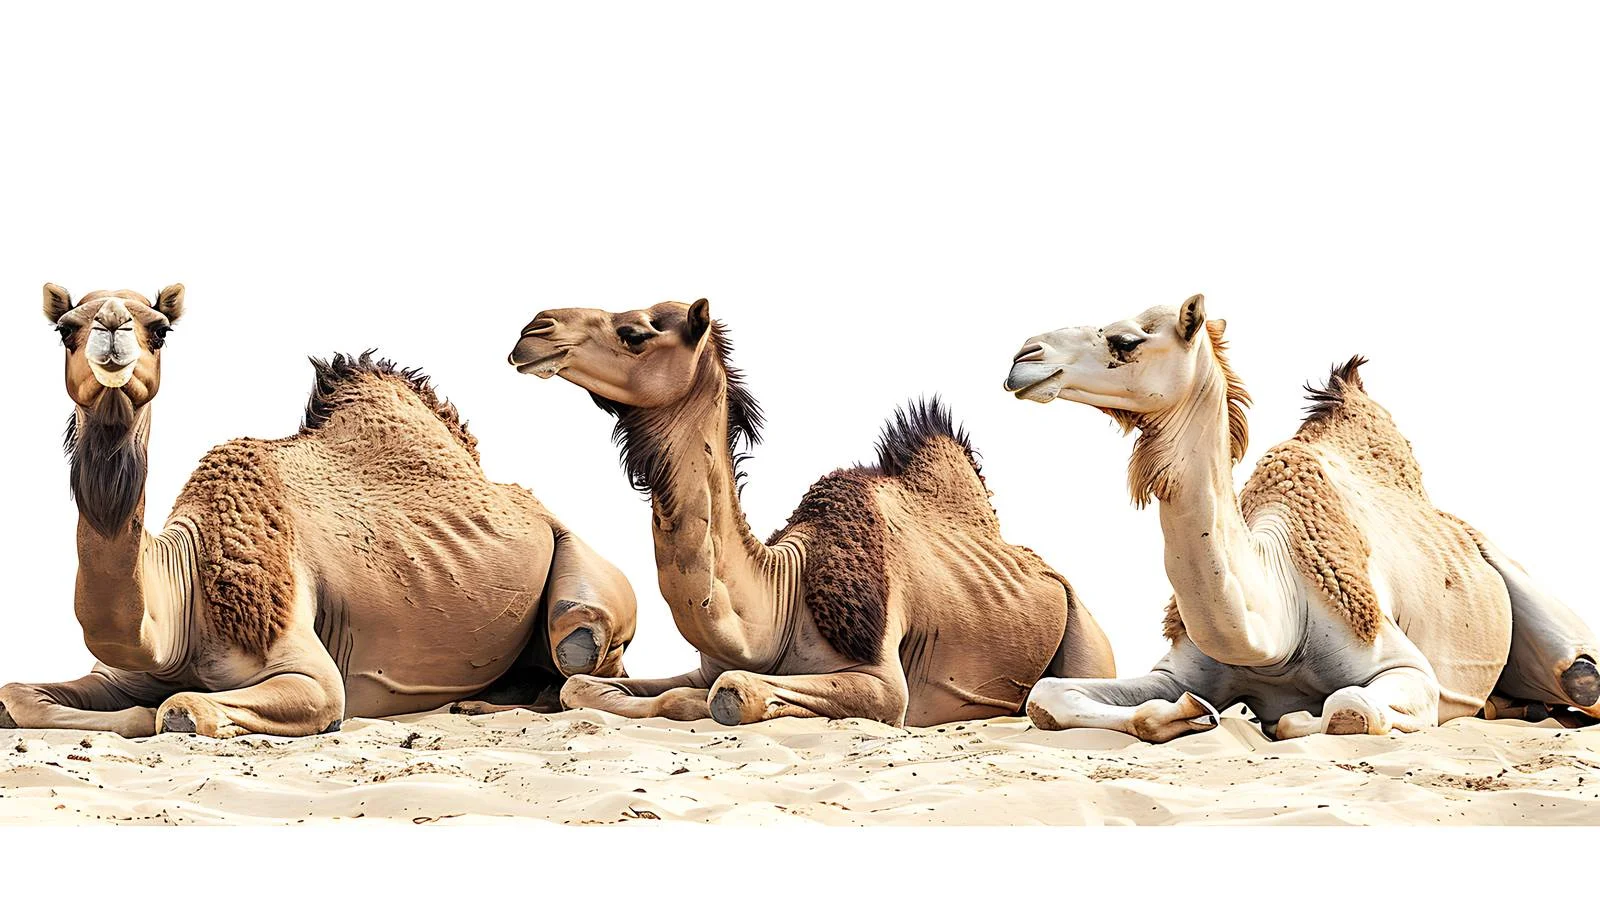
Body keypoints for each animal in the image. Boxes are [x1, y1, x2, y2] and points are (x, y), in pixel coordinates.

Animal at [0, 284, 636, 738]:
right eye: (64, 328)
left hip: (580, 576)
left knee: (580, 637)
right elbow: (16, 696)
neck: (184, 584)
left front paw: (148, 715)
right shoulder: (123, 669)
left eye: (159, 329)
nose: (111, 329)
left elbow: (181, 708)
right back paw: (474, 704)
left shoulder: (310, 668)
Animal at [506, 299, 1115, 726]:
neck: (784, 593)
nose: (533, 329)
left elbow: (729, 692)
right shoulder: (705, 660)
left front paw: (697, 703)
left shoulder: (884, 684)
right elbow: (580, 687)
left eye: (636, 332)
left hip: (1085, 632)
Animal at [1003, 293, 1600, 741]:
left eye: (1126, 341)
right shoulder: (1180, 669)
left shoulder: (1406, 668)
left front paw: (1271, 718)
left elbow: (1344, 708)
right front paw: (1194, 713)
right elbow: (1048, 699)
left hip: (1553, 632)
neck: (1277, 628)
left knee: (1581, 675)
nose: (1022, 356)